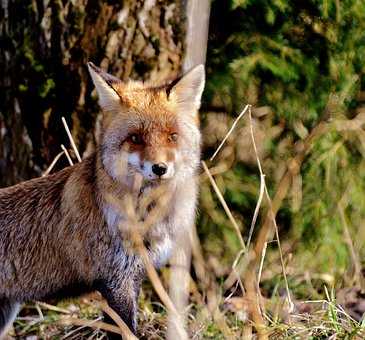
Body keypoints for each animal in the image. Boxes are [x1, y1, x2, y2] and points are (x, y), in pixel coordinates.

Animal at [0, 63, 205, 338]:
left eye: (172, 136)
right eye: (135, 138)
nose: (160, 168)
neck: (149, 217)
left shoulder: (134, 276)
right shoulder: (116, 280)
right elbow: (126, 331)